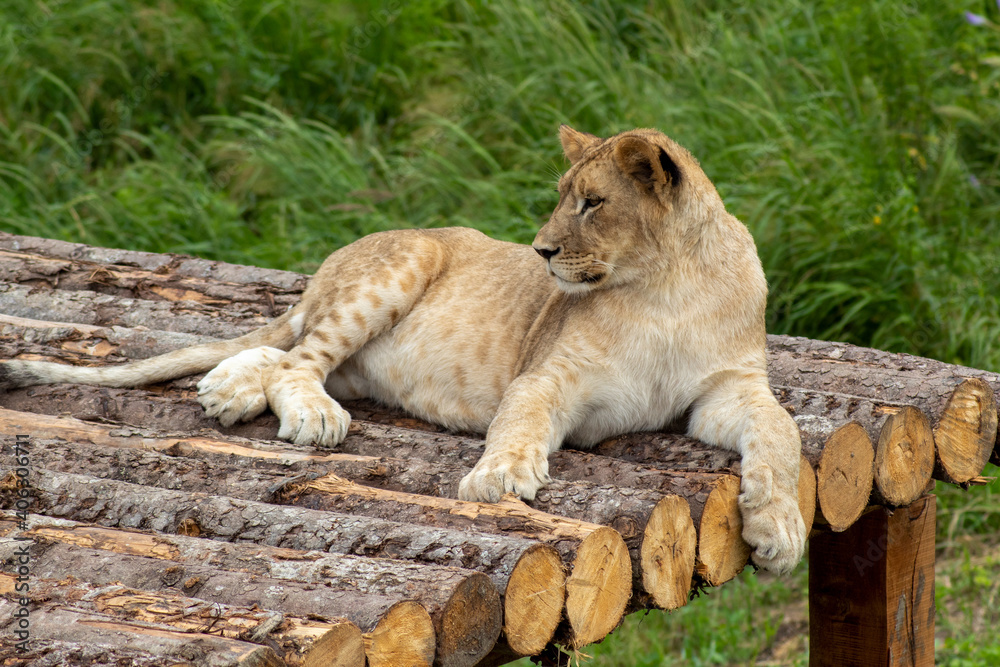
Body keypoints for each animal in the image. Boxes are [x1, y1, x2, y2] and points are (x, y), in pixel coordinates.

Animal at [0, 126, 805, 573]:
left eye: (593, 202)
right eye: (561, 195)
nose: (541, 250)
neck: (666, 287)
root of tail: (328, 265)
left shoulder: (727, 390)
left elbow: (781, 432)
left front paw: (779, 528)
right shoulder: (552, 373)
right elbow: (521, 416)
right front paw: (499, 476)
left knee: (285, 358)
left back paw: (227, 389)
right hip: (405, 260)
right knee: (300, 361)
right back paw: (304, 415)